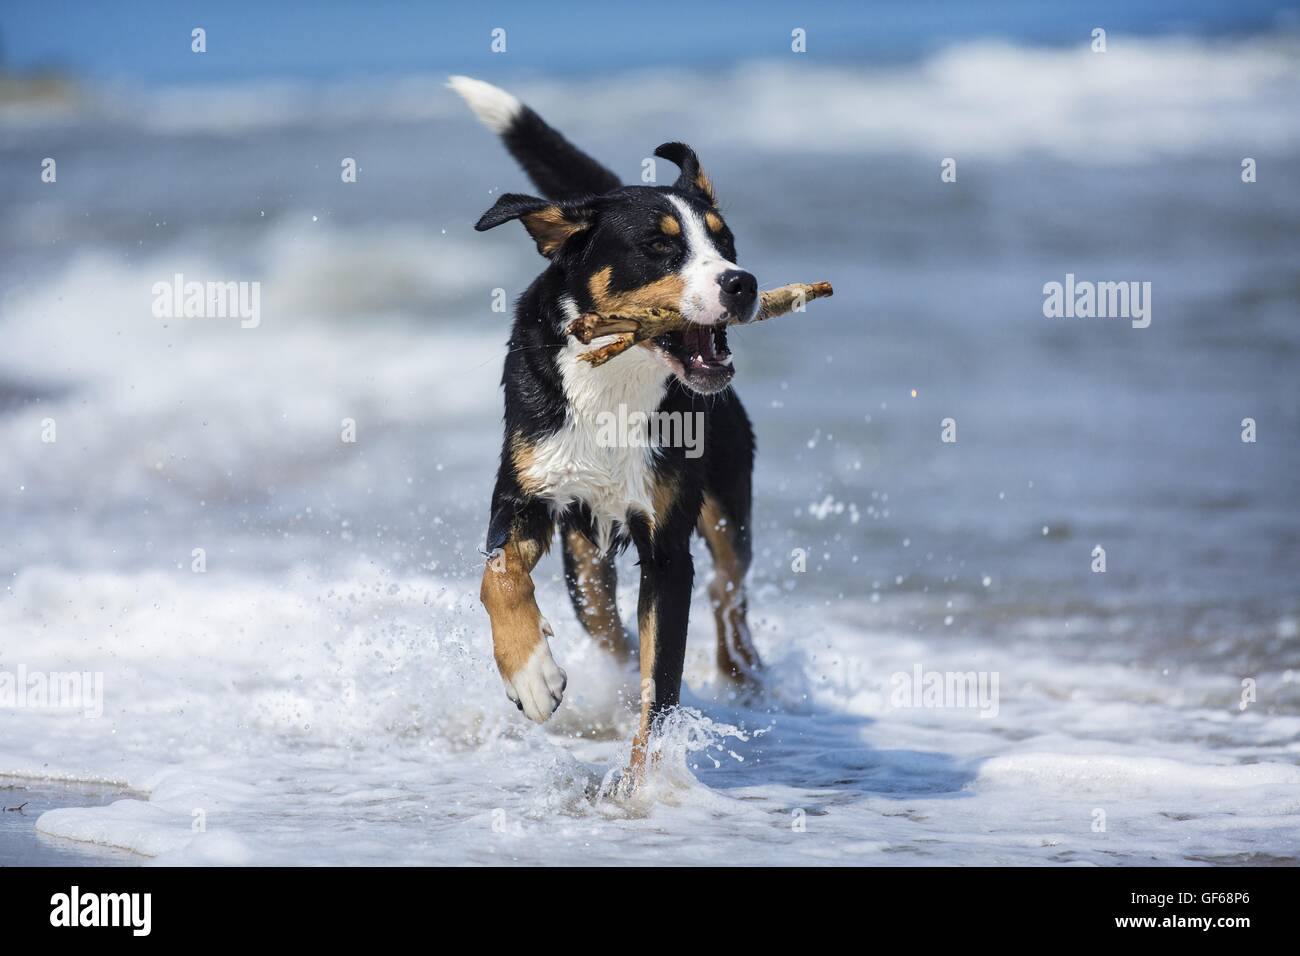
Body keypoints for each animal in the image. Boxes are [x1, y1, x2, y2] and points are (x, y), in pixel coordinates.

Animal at [454, 76, 764, 780]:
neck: (615, 382)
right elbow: (498, 576)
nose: (742, 282)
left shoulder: (667, 546)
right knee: (613, 636)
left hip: (727, 507)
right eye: (659, 245)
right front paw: (532, 676)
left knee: (729, 594)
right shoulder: (525, 491)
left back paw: (747, 679)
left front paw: (644, 784)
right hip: (585, 563)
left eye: (726, 243)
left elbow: (662, 683)